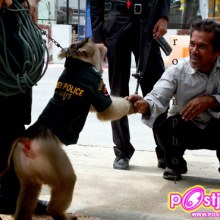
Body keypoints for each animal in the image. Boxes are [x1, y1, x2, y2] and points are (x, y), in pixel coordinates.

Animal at [9, 37, 134, 220]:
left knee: (30, 188)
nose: (102, 43)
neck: (79, 63)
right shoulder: (94, 83)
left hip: (24, 164)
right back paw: (58, 213)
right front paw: (132, 105)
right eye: (95, 44)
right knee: (66, 181)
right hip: (51, 155)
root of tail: (28, 140)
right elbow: (106, 111)